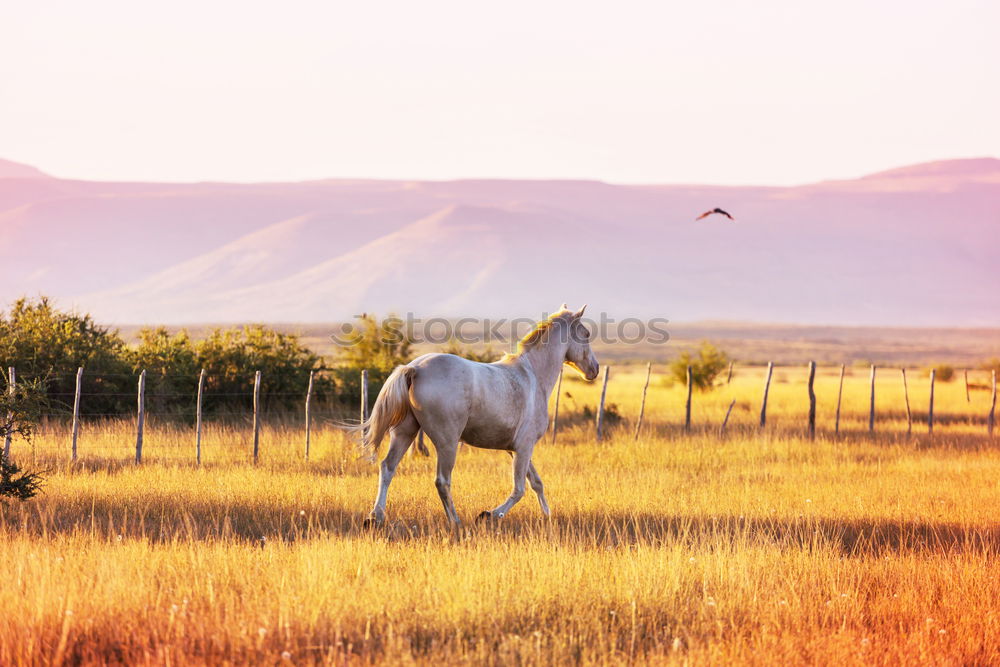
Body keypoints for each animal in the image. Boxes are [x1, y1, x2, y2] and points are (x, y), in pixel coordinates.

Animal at [358, 306, 592, 528]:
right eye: (586, 333)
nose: (594, 369)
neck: (533, 376)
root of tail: (414, 369)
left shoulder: (514, 449)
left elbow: (536, 483)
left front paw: (547, 516)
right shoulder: (525, 447)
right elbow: (519, 489)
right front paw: (489, 515)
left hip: (404, 433)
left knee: (387, 467)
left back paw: (375, 517)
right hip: (447, 442)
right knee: (442, 481)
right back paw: (455, 521)